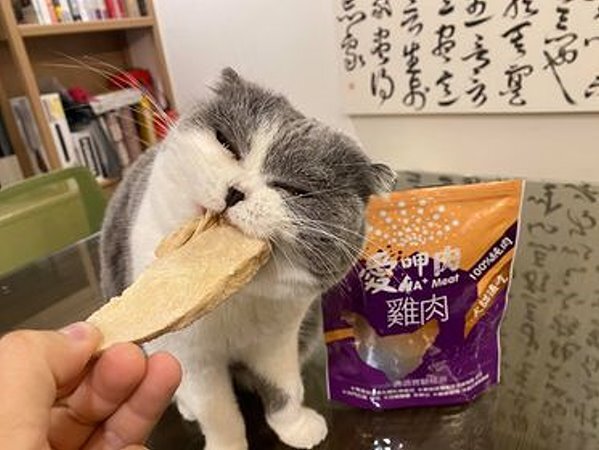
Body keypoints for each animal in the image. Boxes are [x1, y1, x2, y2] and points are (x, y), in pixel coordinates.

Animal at [100, 68, 394, 450]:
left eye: (294, 190)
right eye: (227, 143)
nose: (235, 191)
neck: (234, 297)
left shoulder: (277, 341)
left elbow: (284, 389)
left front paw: (295, 427)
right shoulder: (192, 357)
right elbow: (218, 413)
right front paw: (226, 443)